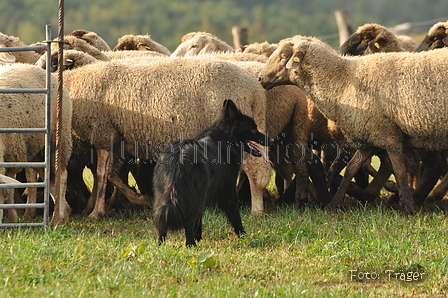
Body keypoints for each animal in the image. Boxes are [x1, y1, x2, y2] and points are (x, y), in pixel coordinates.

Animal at [153, 99, 272, 246]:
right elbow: (235, 215)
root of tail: (178, 157)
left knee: (162, 218)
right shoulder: (228, 190)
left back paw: (161, 244)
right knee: (188, 219)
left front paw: (199, 237)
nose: (272, 140)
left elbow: (199, 219)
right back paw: (190, 245)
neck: (226, 139)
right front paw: (243, 235)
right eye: (253, 129)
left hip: (164, 195)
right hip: (193, 196)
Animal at [258, 35, 448, 214]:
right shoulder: (368, 134)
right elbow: (351, 168)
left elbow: (400, 171)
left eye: (284, 56)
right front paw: (333, 204)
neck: (342, 81)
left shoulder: (388, 135)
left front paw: (408, 207)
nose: (260, 78)